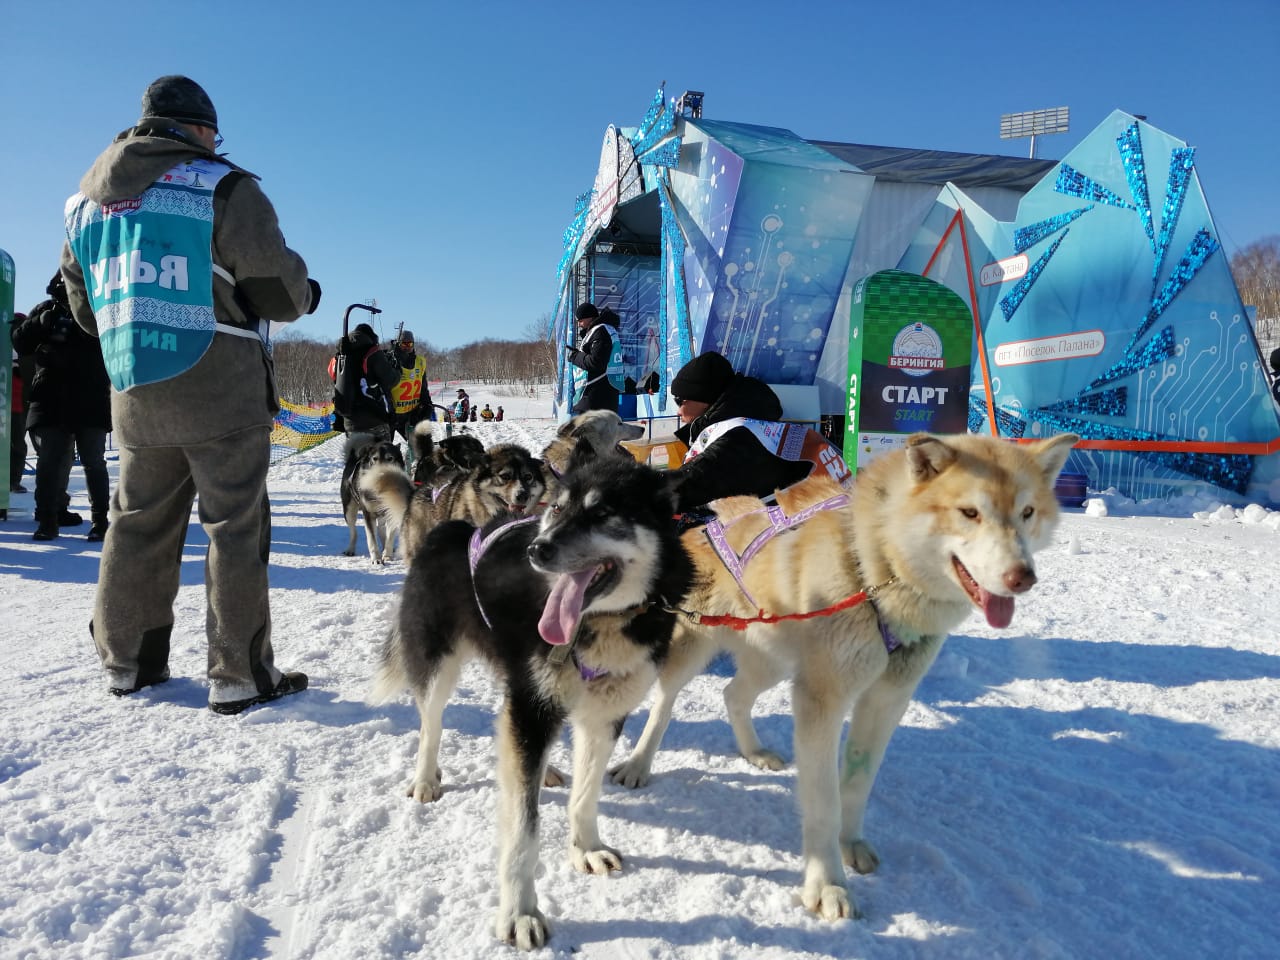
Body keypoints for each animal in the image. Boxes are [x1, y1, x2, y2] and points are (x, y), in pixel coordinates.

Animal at [340, 435, 404, 563]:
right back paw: (350, 549)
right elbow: (372, 539)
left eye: (390, 458)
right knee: (353, 532)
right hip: (349, 511)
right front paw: (377, 559)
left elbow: (389, 537)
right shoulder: (368, 514)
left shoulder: (392, 512)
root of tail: (353, 458)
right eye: (375, 459)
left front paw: (387, 555)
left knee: (381, 530)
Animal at [371, 445, 691, 957]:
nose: (538, 550)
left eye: (603, 513)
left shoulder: (603, 716)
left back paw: (548, 771)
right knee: (431, 724)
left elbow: (587, 794)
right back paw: (425, 777)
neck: (599, 623)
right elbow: (524, 829)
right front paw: (519, 913)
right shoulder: (530, 708)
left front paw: (586, 848)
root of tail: (452, 529)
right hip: (439, 665)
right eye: (557, 509)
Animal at [611, 432, 1080, 921]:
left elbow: (857, 782)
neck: (876, 569)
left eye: (1027, 512)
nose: (1022, 577)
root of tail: (708, 515)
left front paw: (850, 844)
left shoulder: (886, 700)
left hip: (772, 659)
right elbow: (824, 802)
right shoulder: (822, 701)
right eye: (970, 512)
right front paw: (828, 885)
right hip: (696, 646)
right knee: (664, 704)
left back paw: (754, 751)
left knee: (733, 694)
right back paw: (639, 764)